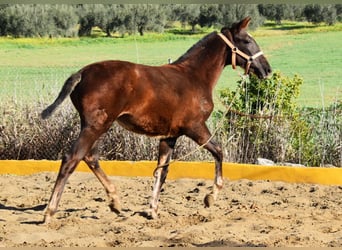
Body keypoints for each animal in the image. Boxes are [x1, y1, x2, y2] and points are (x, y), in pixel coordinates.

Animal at [40, 17, 270, 223]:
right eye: (247, 40)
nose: (267, 69)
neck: (194, 77)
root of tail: (81, 73)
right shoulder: (195, 128)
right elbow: (219, 151)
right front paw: (210, 197)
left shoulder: (169, 136)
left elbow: (162, 170)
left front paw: (152, 210)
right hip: (96, 126)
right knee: (71, 158)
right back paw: (50, 212)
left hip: (95, 126)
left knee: (89, 157)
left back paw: (115, 201)